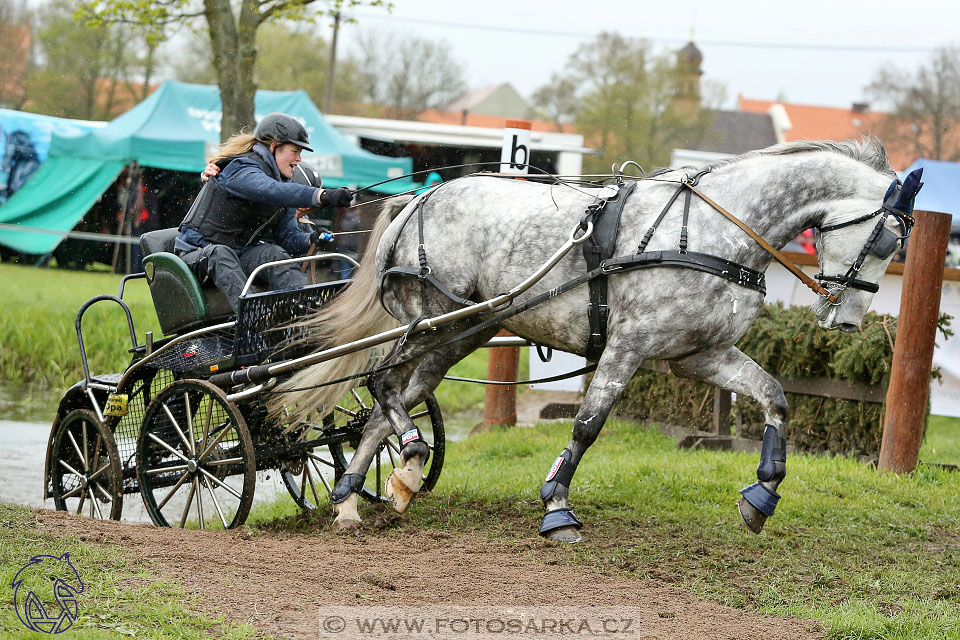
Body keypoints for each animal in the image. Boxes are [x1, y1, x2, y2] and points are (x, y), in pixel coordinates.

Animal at [274, 138, 920, 544]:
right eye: (889, 243)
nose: (847, 323)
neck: (712, 230)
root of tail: (416, 201)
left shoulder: (700, 355)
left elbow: (775, 396)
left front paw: (761, 495)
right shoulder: (627, 345)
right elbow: (588, 423)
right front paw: (557, 505)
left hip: (458, 334)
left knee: (387, 409)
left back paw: (360, 496)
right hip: (432, 320)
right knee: (382, 386)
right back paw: (402, 464)